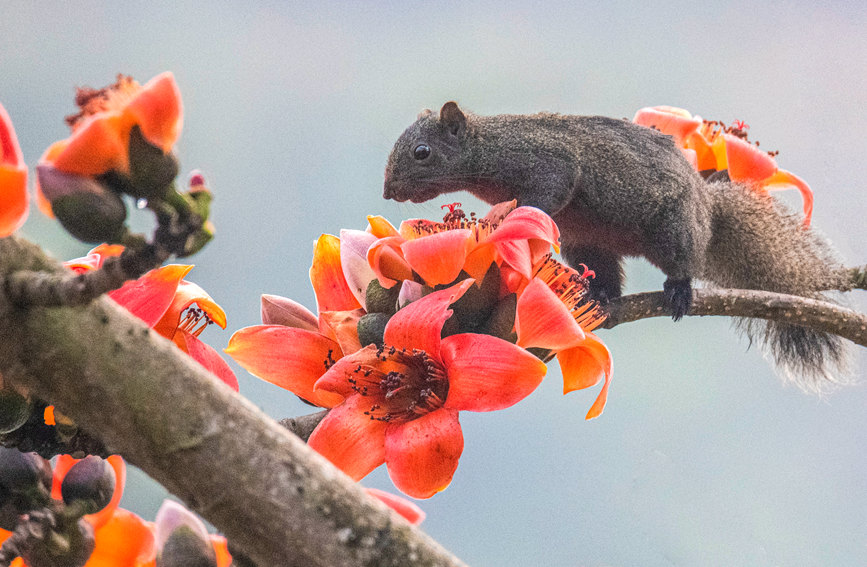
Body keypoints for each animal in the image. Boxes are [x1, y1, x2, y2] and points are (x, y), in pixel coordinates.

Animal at [384, 101, 852, 386]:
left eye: (422, 152)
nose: (388, 191)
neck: (491, 147)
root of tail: (707, 208)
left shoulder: (549, 164)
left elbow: (544, 197)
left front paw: (502, 217)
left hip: (675, 230)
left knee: (685, 260)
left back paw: (678, 291)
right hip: (590, 246)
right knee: (609, 276)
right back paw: (601, 298)